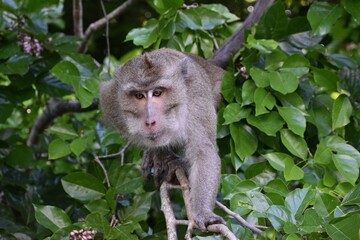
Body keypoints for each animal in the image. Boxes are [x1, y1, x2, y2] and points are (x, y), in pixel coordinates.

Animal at [99, 47, 225, 230]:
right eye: (139, 96)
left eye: (157, 93)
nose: (150, 121)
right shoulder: (110, 99)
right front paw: (156, 152)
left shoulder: (196, 99)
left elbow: (203, 151)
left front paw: (204, 214)